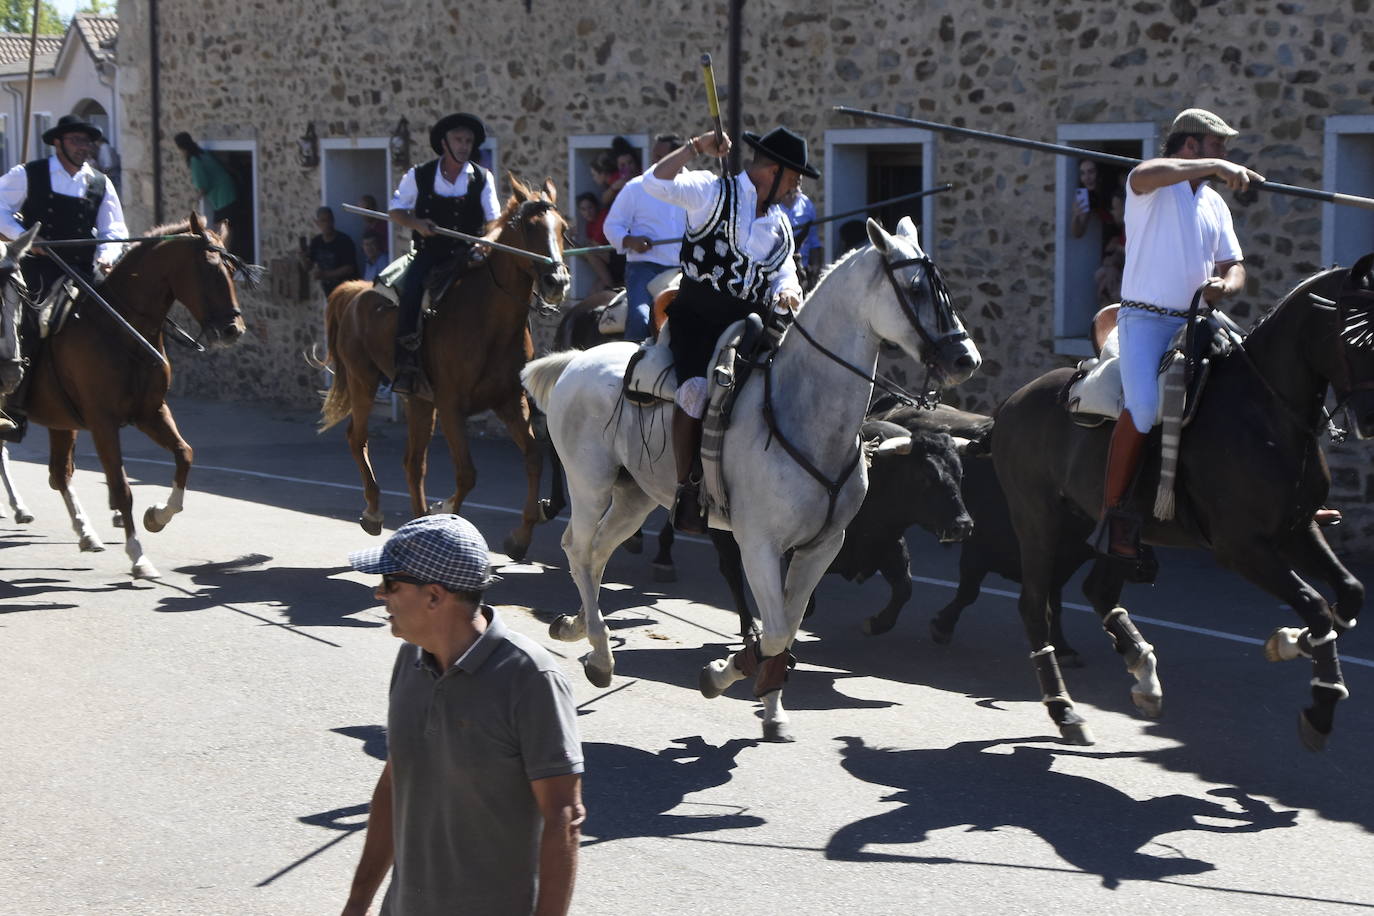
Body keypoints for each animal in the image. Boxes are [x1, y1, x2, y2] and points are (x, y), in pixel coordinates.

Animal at [20, 211, 250, 576]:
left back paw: (86, 533)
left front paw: (157, 516)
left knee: (59, 473)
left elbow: (184, 454)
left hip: (61, 421)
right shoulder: (102, 422)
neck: (121, 329)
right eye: (209, 269)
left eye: (232, 270)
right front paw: (138, 556)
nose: (233, 330)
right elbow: (121, 487)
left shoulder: (151, 412)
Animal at [320, 171, 568, 560]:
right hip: (364, 381)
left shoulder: (511, 402)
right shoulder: (452, 407)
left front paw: (520, 537)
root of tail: (355, 291)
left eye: (562, 227)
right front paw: (447, 509)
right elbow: (467, 474)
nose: (557, 281)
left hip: (418, 400)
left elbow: (532, 457)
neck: (487, 319)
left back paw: (416, 524)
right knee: (357, 438)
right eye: (530, 228)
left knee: (413, 463)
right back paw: (374, 512)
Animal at [519, 218, 983, 741]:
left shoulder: (821, 546)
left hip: (635, 496)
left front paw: (772, 708)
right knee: (578, 549)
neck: (801, 413)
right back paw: (599, 654)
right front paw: (724, 675)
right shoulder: (758, 543)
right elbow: (776, 627)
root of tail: (577, 360)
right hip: (590, 484)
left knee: (597, 553)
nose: (966, 358)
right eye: (917, 288)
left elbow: (789, 626)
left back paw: (577, 627)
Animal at [994, 256, 1374, 752]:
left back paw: (1141, 670)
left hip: (1105, 529)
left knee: (1098, 591)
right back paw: (1065, 709)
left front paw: (1293, 641)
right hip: (1039, 523)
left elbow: (1348, 593)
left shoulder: (1297, 528)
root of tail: (1010, 404)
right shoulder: (1243, 548)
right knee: (1035, 606)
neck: (1265, 413)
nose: (1371, 418)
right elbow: (1314, 602)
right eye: (1356, 335)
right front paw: (1321, 704)